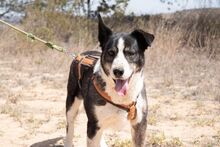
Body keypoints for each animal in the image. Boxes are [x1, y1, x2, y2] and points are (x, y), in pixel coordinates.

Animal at [65, 14, 155, 147]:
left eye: (131, 53)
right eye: (111, 53)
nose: (118, 71)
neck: (120, 98)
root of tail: (82, 54)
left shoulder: (140, 123)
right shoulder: (93, 124)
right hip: (72, 102)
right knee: (70, 125)